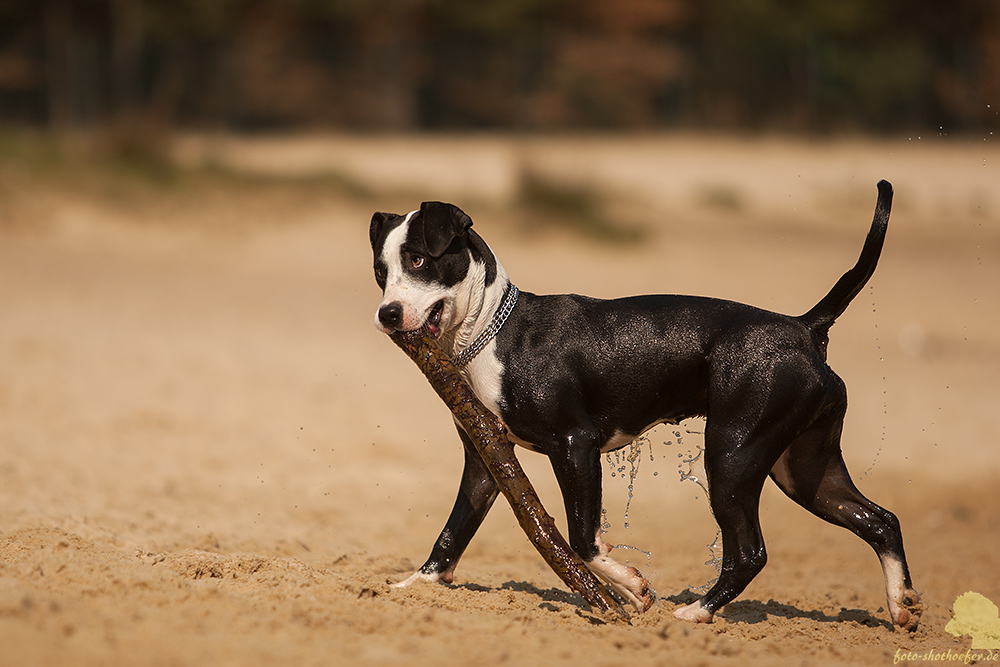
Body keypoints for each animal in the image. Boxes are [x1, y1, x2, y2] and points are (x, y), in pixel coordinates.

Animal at [370, 180, 920, 628]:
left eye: (419, 260)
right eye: (380, 271)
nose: (387, 314)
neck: (492, 329)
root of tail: (804, 327)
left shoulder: (575, 445)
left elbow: (583, 538)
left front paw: (631, 587)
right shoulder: (486, 461)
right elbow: (452, 533)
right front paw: (413, 587)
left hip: (732, 455)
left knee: (750, 552)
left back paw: (695, 613)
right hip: (803, 469)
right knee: (880, 520)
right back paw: (901, 606)